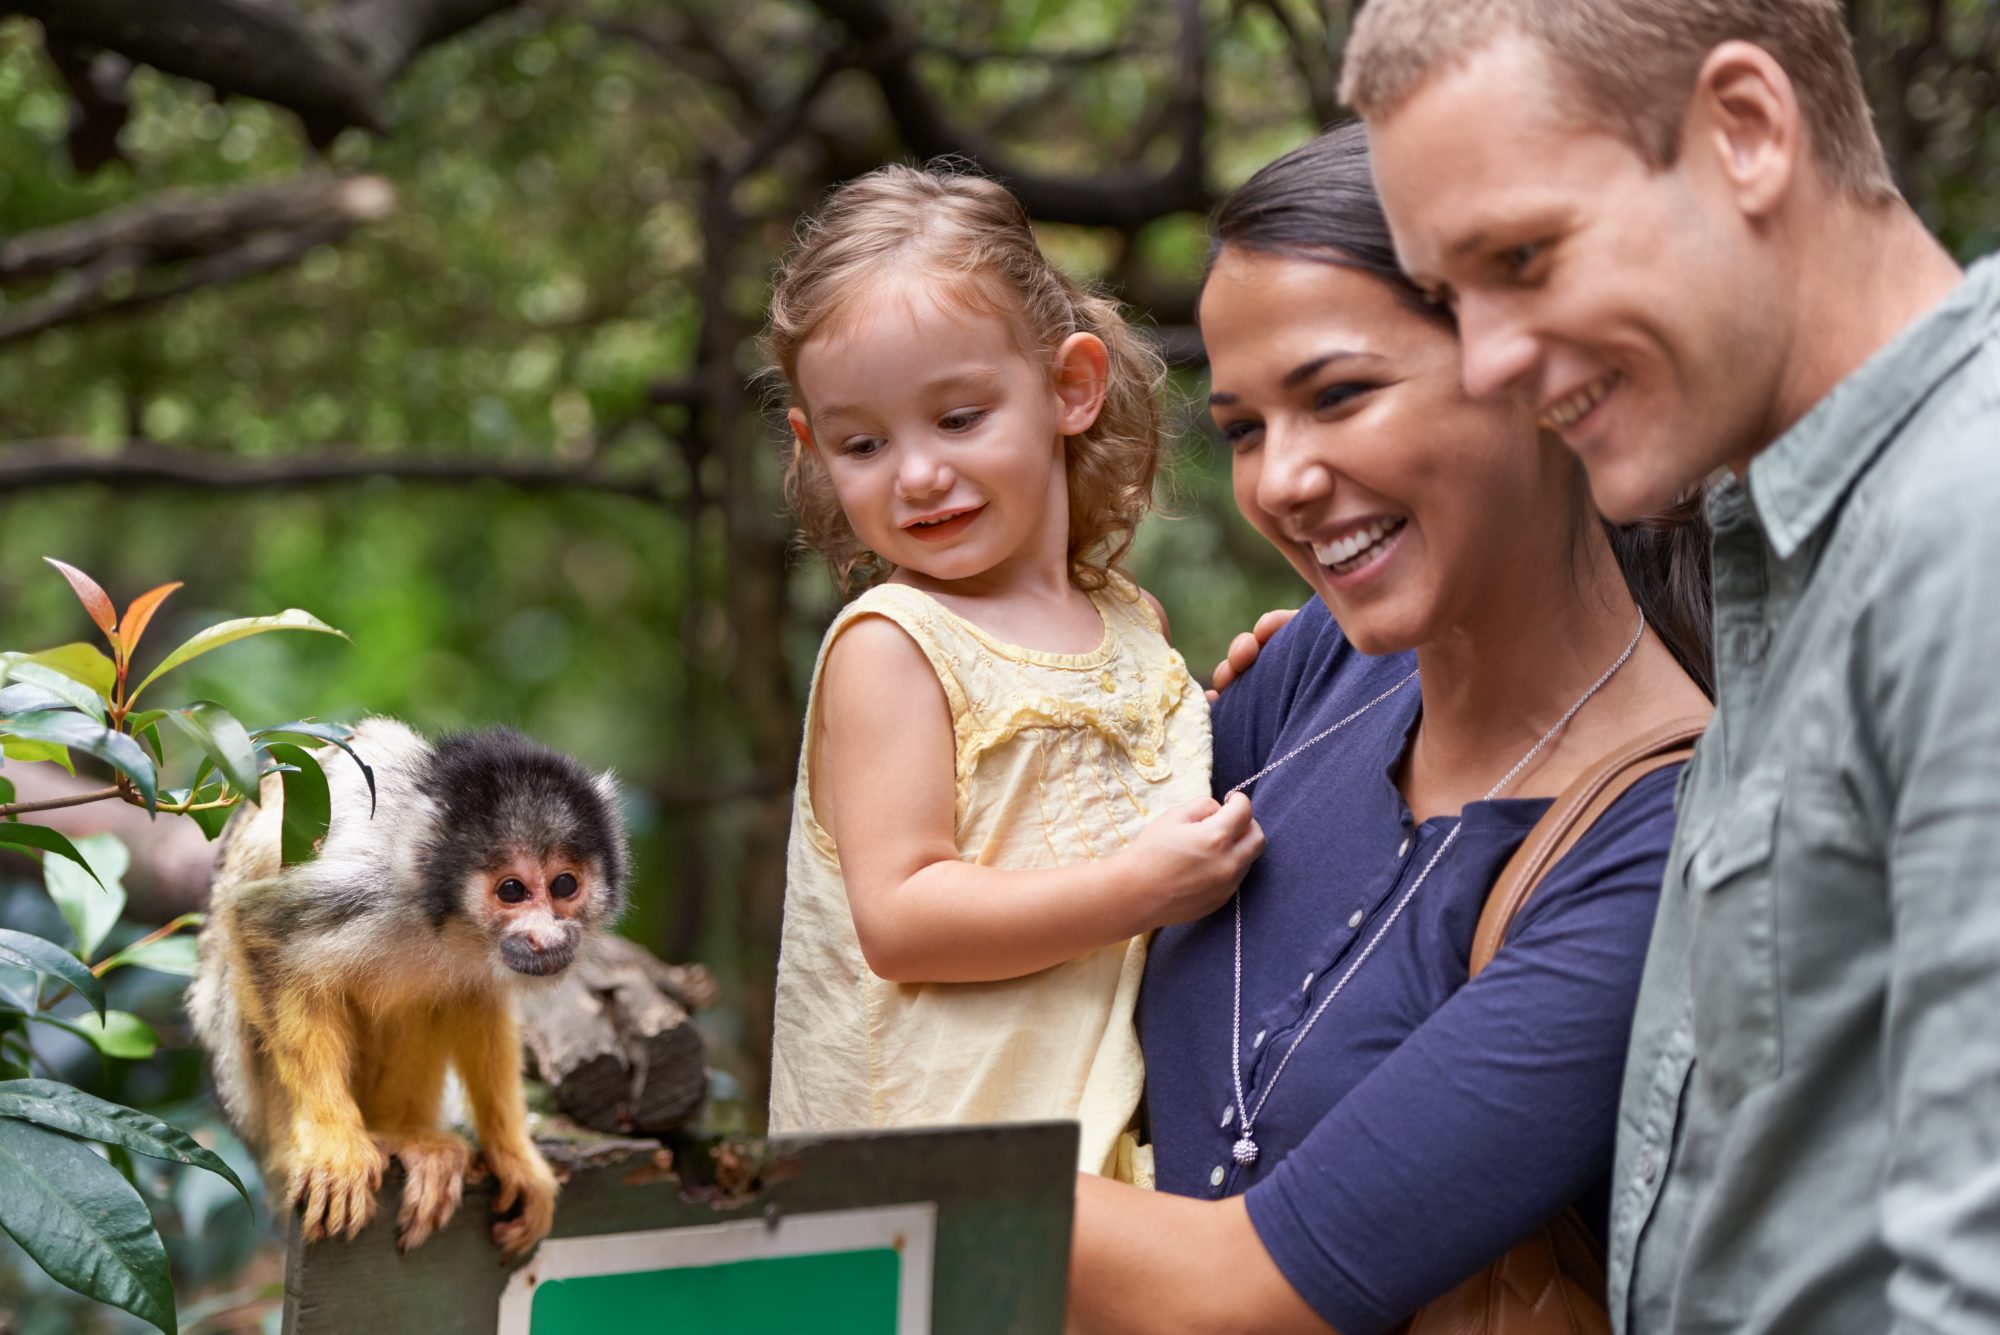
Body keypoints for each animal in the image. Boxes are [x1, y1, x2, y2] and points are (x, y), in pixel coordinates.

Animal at [188, 719, 628, 1263]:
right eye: (512, 891)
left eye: (565, 885)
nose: (546, 935)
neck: (438, 920)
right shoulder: (367, 890)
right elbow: (259, 930)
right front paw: (332, 1141)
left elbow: (476, 1001)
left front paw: (515, 1156)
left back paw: (406, 1135)